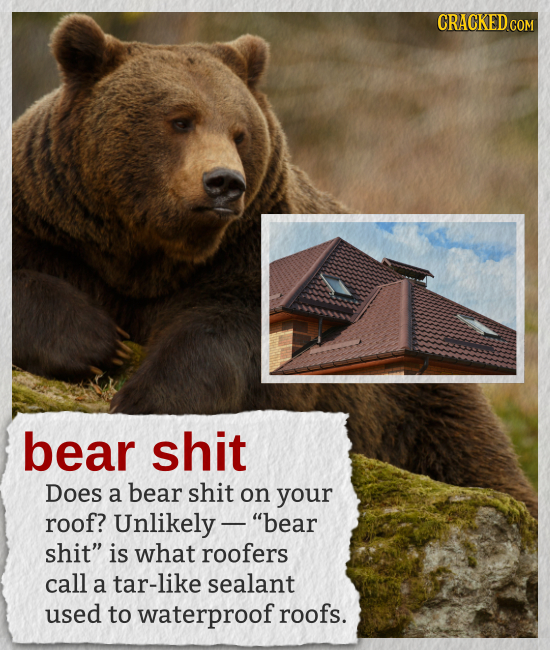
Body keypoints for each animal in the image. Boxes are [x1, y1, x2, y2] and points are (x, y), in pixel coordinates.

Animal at [12, 14, 537, 519]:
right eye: (180, 120)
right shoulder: (51, 225)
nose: (224, 183)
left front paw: (142, 398)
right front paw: (99, 342)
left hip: (421, 409)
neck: (147, 253)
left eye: (239, 132)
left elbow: (233, 338)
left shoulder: (239, 255)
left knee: (473, 458)